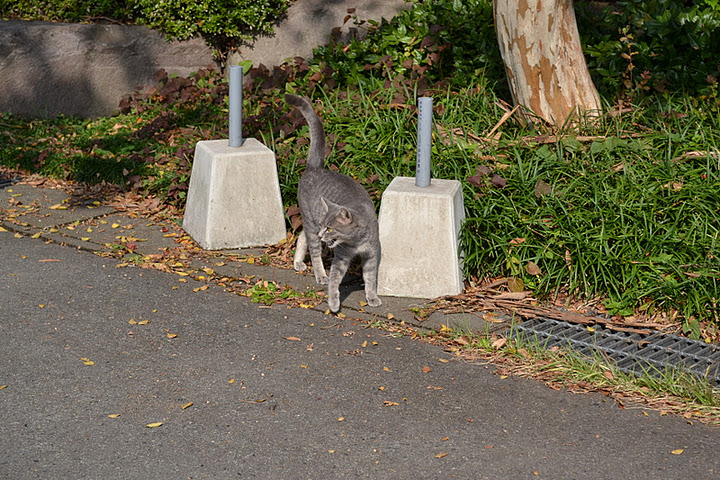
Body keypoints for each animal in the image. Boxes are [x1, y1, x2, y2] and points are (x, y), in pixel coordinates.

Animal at [286, 94, 382, 314]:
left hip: (311, 225)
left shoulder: (372, 255)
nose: (323, 234)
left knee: (302, 237)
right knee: (313, 250)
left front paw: (372, 297)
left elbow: (370, 279)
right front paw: (333, 303)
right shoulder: (341, 258)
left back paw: (298, 262)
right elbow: (334, 282)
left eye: (330, 228)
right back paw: (319, 274)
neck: (356, 242)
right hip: (310, 221)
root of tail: (315, 167)